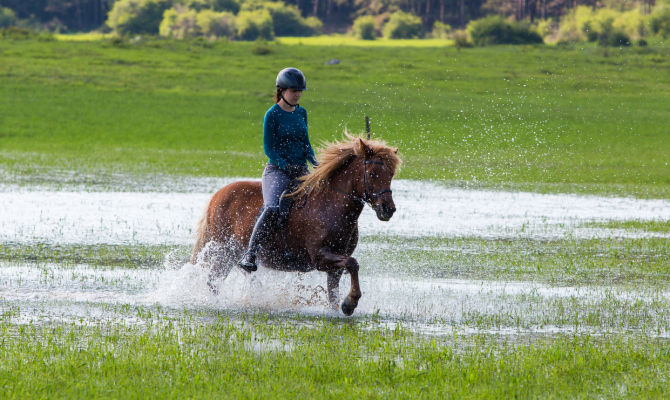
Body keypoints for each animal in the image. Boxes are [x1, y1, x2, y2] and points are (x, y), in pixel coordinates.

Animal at [189, 135, 402, 316]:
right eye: (372, 173)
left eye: (391, 174)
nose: (388, 209)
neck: (331, 205)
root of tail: (218, 195)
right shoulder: (320, 257)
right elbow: (353, 263)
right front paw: (350, 303)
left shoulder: (334, 267)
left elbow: (334, 292)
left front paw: (343, 307)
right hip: (224, 250)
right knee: (214, 280)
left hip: (231, 253)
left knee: (219, 279)